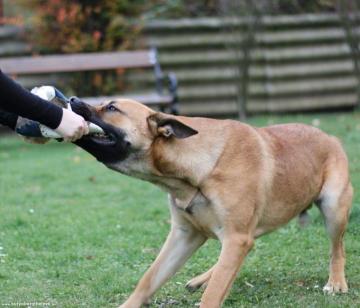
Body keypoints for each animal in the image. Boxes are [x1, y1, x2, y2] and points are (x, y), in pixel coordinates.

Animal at [74, 100, 352, 306]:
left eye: (112, 108)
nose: (73, 100)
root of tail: (330, 137)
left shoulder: (236, 237)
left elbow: (214, 292)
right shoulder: (185, 235)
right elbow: (149, 279)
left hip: (333, 208)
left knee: (337, 249)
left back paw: (337, 282)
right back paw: (203, 278)